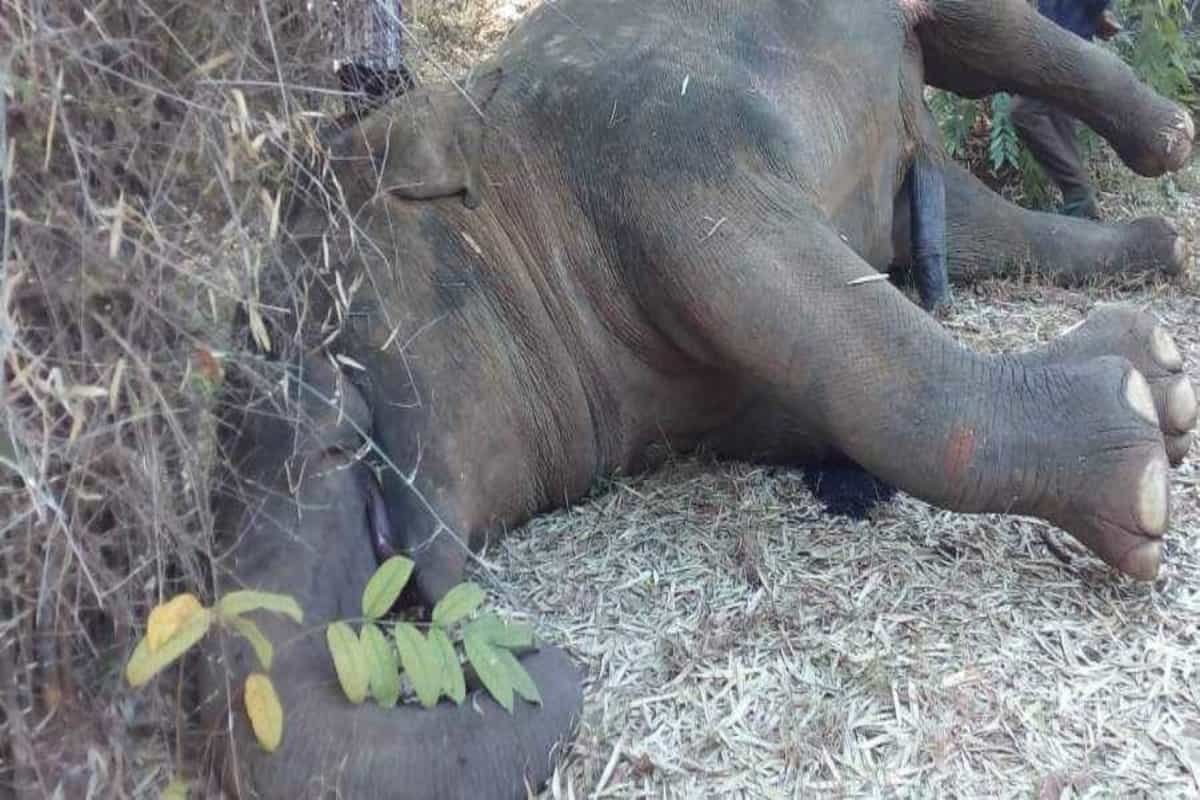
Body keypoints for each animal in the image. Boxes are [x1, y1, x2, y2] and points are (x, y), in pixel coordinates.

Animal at [198, 0, 1198, 797]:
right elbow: (824, 391)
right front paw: (1153, 386)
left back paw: (1168, 142)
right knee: (974, 210)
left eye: (328, 405)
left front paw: (1141, 474)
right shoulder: (689, 397)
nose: (545, 652)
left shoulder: (659, 149)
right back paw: (1158, 273)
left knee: (991, 41)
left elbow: (849, 334)